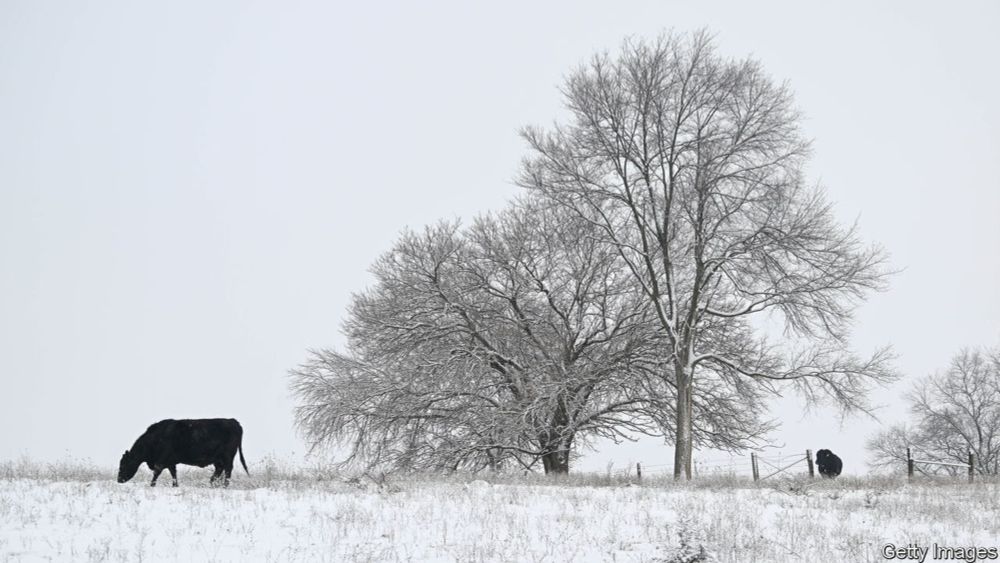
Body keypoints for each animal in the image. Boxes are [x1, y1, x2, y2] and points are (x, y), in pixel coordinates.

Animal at [118, 418, 249, 490]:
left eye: (123, 465)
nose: (119, 480)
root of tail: (233, 421)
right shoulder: (170, 462)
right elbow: (173, 474)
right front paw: (175, 486)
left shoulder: (162, 461)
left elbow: (156, 473)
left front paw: (152, 485)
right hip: (218, 459)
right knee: (219, 470)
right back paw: (212, 484)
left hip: (227, 457)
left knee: (228, 471)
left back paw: (224, 486)